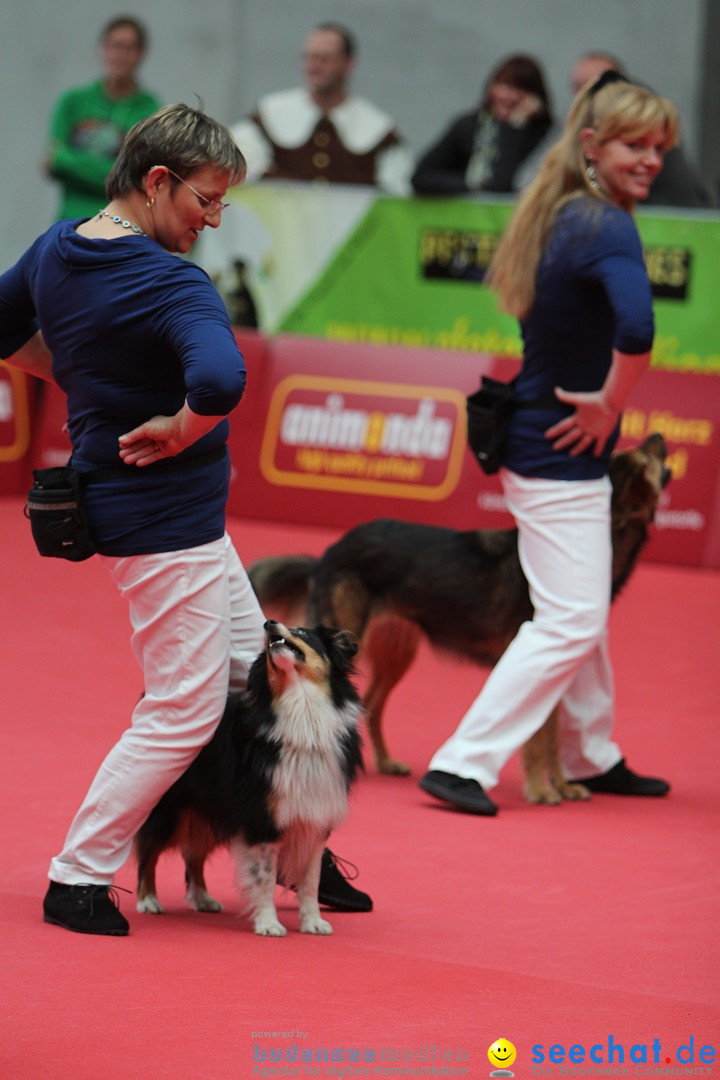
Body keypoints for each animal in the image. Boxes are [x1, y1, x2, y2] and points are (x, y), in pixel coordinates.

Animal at [133, 622, 362, 933]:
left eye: (302, 632)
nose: (269, 623)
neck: (302, 710)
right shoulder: (261, 821)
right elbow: (264, 878)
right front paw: (268, 924)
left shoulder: (314, 820)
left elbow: (310, 880)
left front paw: (313, 922)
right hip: (171, 808)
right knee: (149, 848)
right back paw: (148, 900)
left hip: (210, 809)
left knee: (194, 854)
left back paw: (203, 898)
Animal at [250, 436, 673, 803]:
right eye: (645, 459)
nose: (657, 436)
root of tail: (330, 550)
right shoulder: (540, 659)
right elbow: (536, 740)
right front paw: (541, 791)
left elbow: (551, 740)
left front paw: (564, 786)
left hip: (395, 651)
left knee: (371, 705)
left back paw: (385, 762)